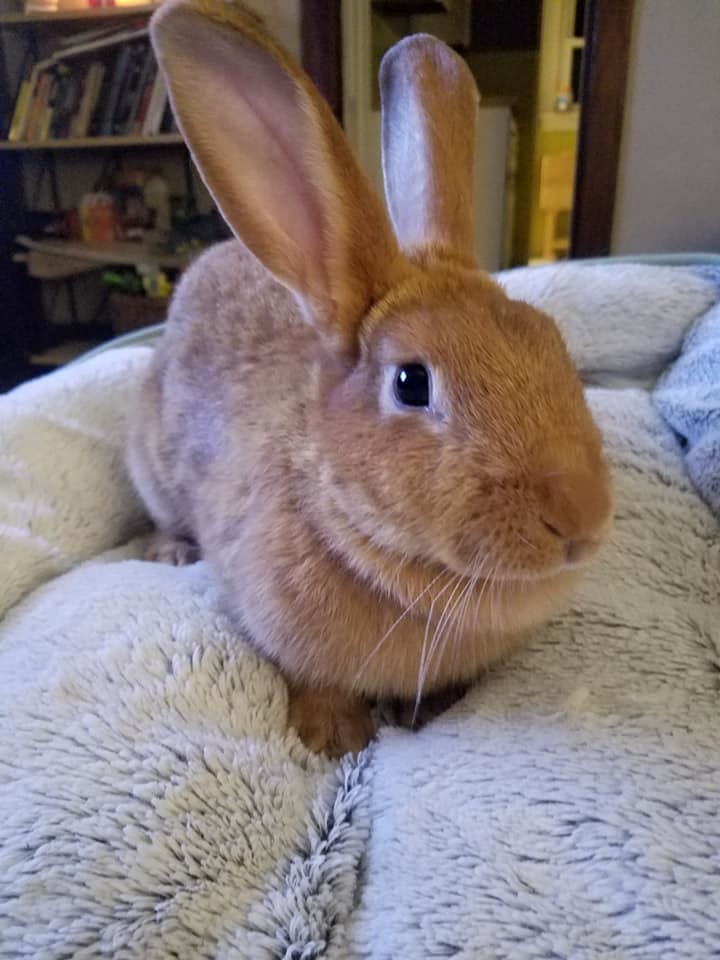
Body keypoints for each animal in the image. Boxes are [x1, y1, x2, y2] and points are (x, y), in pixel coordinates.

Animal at [127, 0, 613, 757]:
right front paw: (335, 738)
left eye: (552, 342)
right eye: (412, 383)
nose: (580, 519)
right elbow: (313, 685)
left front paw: (427, 712)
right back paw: (174, 551)